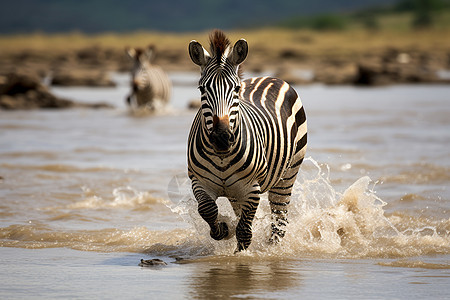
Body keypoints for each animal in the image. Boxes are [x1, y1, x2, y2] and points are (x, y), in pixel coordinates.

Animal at [185, 29, 306, 251]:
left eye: (235, 89)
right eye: (201, 90)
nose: (222, 139)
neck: (222, 157)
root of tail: (269, 77)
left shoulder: (251, 187)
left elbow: (244, 231)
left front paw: (242, 253)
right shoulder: (199, 181)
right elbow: (208, 210)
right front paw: (224, 229)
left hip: (288, 175)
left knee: (279, 218)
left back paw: (273, 247)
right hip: (235, 193)